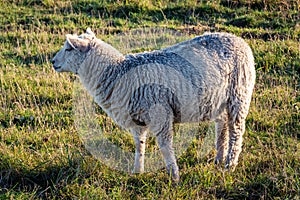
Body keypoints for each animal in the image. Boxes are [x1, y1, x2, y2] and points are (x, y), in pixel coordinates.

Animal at [51, 27, 255, 182]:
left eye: (69, 49)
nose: (53, 62)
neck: (118, 74)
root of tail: (238, 39)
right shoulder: (137, 120)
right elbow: (139, 146)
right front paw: (137, 171)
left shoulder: (160, 115)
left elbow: (165, 146)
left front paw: (174, 177)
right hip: (219, 100)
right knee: (222, 126)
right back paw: (219, 159)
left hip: (239, 93)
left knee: (236, 131)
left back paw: (230, 165)